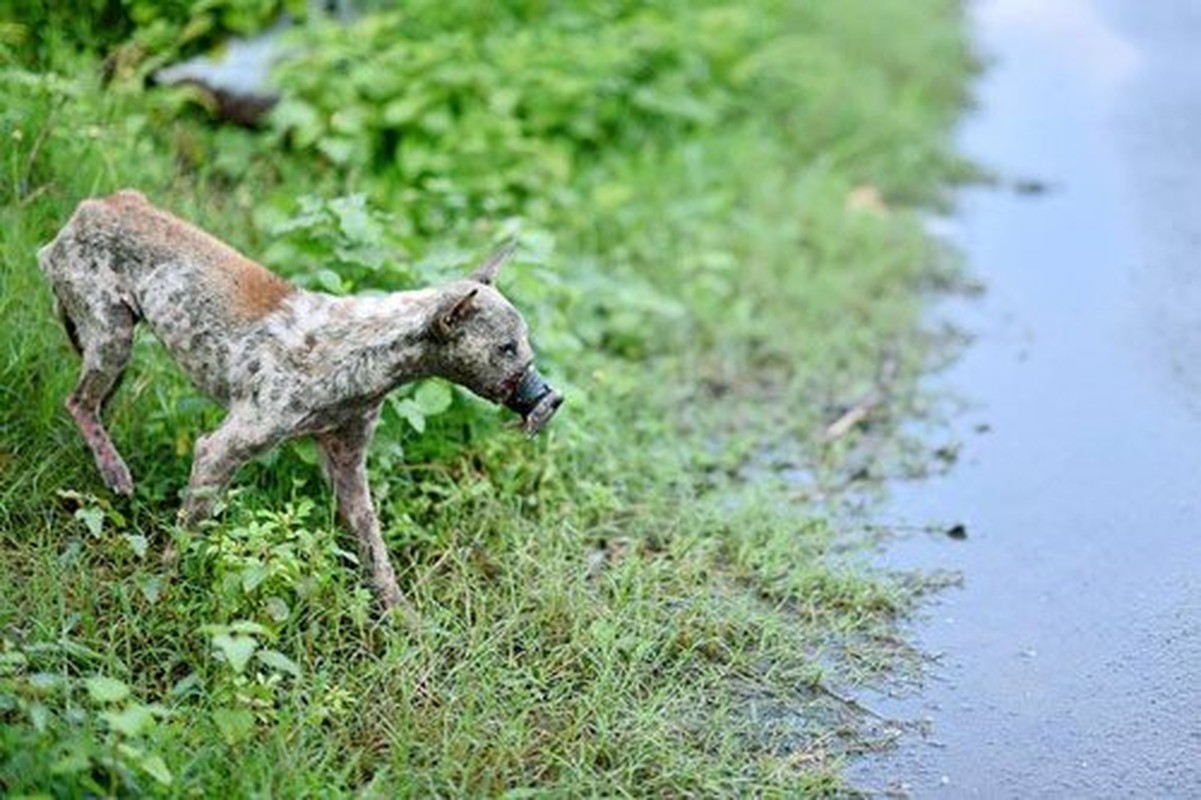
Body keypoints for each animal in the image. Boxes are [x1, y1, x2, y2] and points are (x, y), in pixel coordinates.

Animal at [38, 189, 562, 607]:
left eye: (525, 342)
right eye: (507, 348)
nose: (549, 399)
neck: (365, 354)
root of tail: (93, 205)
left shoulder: (348, 467)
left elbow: (377, 553)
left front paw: (405, 621)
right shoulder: (220, 449)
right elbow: (186, 533)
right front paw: (164, 592)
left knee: (92, 403)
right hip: (112, 336)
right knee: (78, 403)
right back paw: (115, 471)